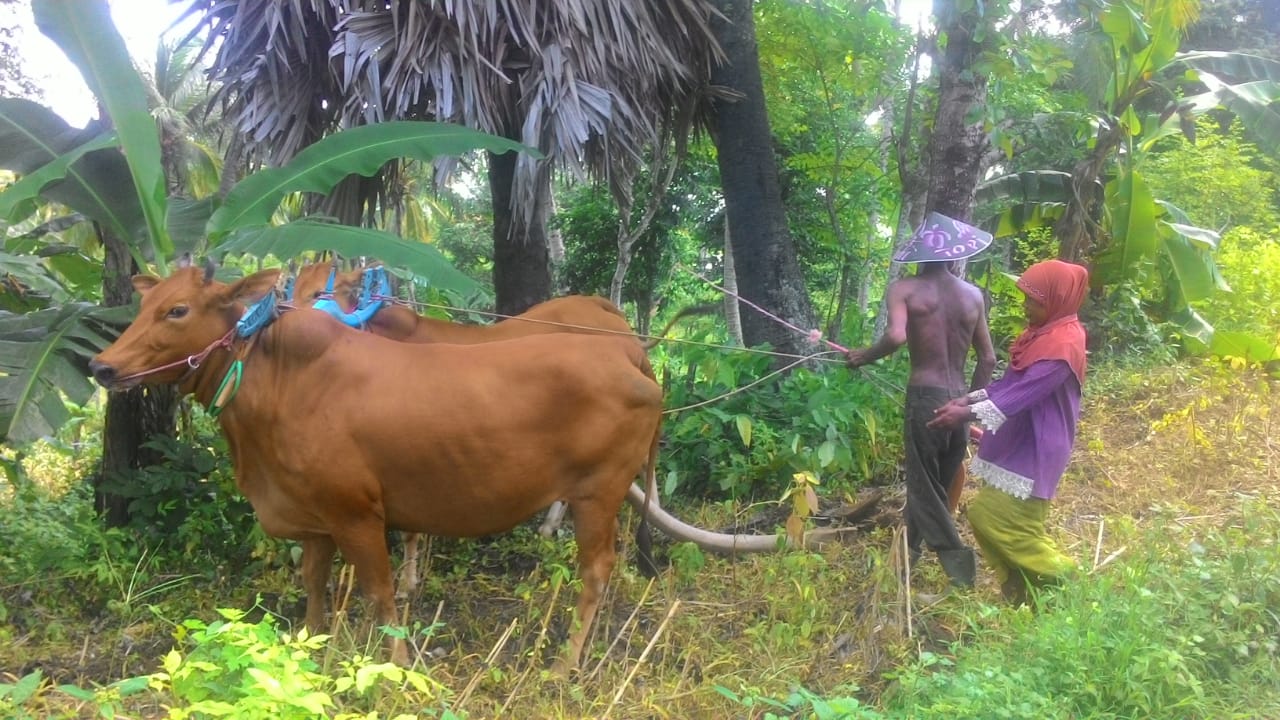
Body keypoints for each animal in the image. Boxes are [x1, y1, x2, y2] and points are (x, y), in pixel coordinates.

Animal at [92, 265, 660, 671]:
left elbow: (380, 593)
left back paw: (565, 663)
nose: (102, 366)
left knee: (596, 570)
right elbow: (313, 584)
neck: (278, 379)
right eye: (143, 305)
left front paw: (398, 664)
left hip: (598, 494)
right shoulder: (314, 518)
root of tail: (626, 352)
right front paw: (311, 646)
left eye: (177, 310)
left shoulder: (357, 514)